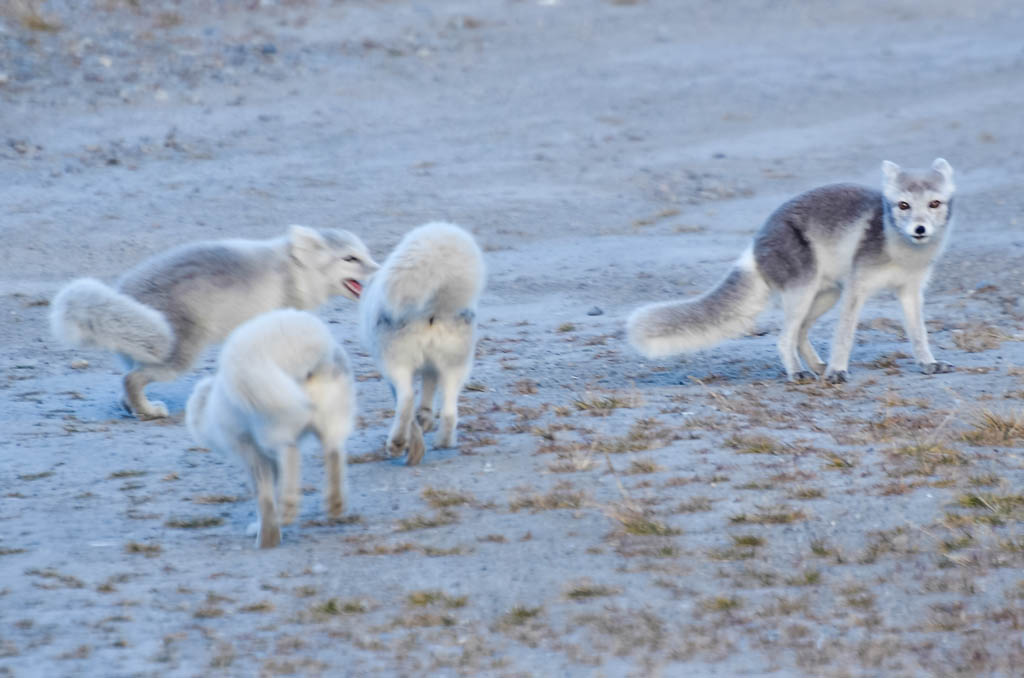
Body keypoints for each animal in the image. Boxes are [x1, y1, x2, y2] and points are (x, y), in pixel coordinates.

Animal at [50, 225, 378, 419]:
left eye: (365, 254)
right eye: (350, 259)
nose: (379, 268)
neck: (293, 271)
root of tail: (124, 292)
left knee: (127, 382)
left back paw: (132, 408)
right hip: (178, 358)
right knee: (131, 379)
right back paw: (148, 412)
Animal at [185, 309, 355, 549]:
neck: (212, 408)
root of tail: (309, 344)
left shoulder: (251, 453)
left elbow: (263, 496)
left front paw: (267, 538)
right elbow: (271, 490)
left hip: (272, 423)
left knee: (291, 452)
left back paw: (289, 509)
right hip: (332, 417)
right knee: (334, 452)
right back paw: (334, 503)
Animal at [359, 222, 485, 465]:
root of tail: (433, 310)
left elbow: (405, 401)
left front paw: (412, 435)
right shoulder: (431, 368)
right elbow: (428, 394)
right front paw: (424, 420)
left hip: (395, 363)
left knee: (407, 398)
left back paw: (397, 443)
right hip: (455, 365)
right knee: (450, 411)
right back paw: (444, 441)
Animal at [627, 158, 956, 383]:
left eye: (934, 203)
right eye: (903, 205)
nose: (919, 229)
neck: (902, 253)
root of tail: (755, 244)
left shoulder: (910, 290)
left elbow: (918, 333)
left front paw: (928, 363)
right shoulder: (856, 288)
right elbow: (844, 335)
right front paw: (838, 370)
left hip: (825, 295)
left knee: (800, 333)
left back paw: (817, 366)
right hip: (805, 291)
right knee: (785, 337)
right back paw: (799, 372)